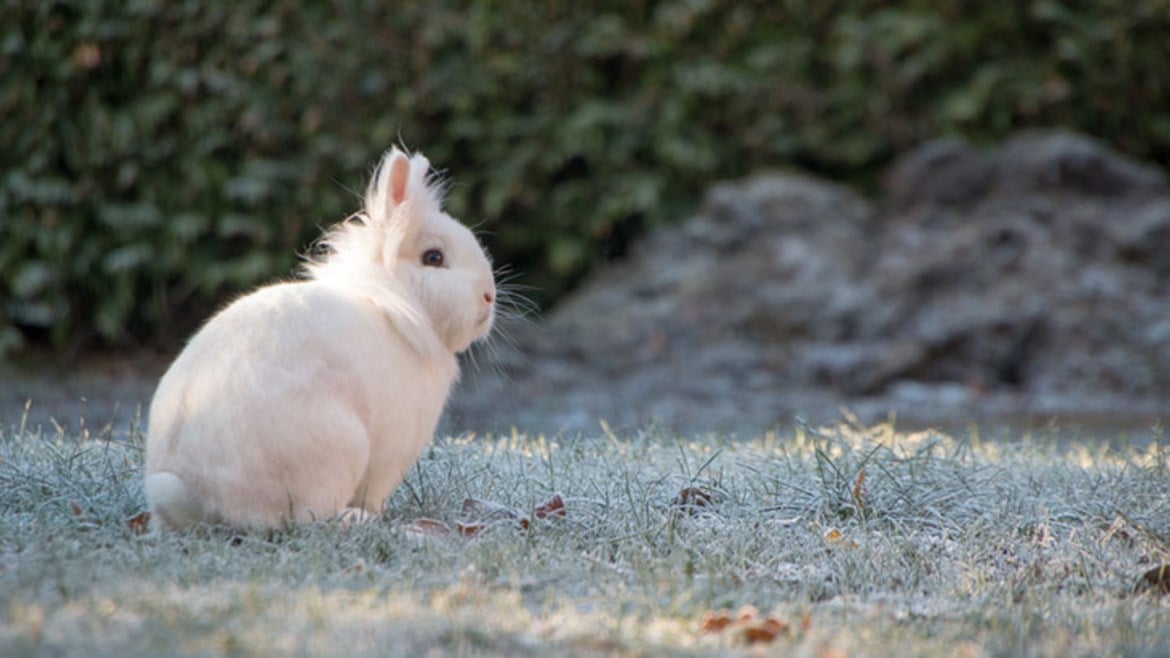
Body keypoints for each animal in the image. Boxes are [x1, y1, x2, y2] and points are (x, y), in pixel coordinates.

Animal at [144, 147, 496, 529]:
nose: (489, 297)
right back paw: (355, 518)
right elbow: (376, 490)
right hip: (340, 449)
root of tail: (196, 494)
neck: (395, 305)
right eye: (434, 257)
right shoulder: (391, 456)